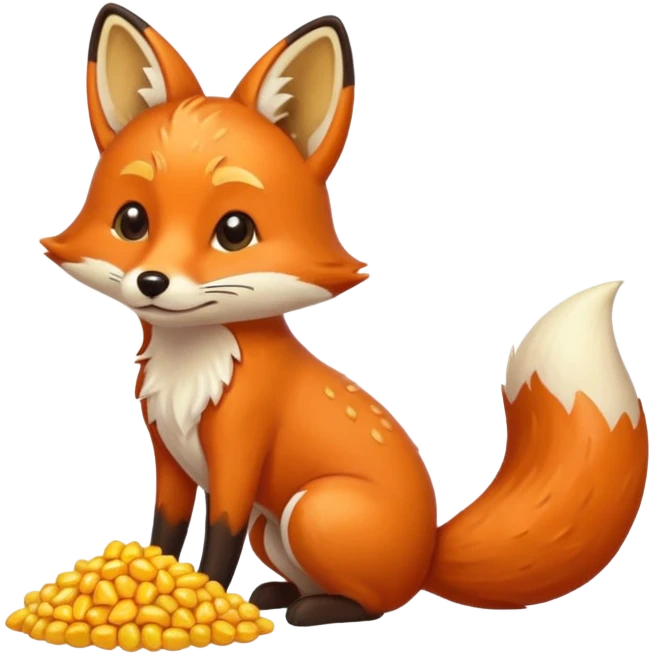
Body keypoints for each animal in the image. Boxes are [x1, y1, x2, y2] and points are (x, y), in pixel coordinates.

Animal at [40, 3, 649, 627]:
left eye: (234, 231)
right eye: (131, 221)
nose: (153, 282)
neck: (194, 366)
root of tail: (428, 551)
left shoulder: (239, 454)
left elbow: (220, 539)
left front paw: (209, 597)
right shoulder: (170, 456)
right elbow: (165, 531)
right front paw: (161, 580)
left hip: (314, 509)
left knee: (376, 602)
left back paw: (316, 609)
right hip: (272, 530)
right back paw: (282, 595)